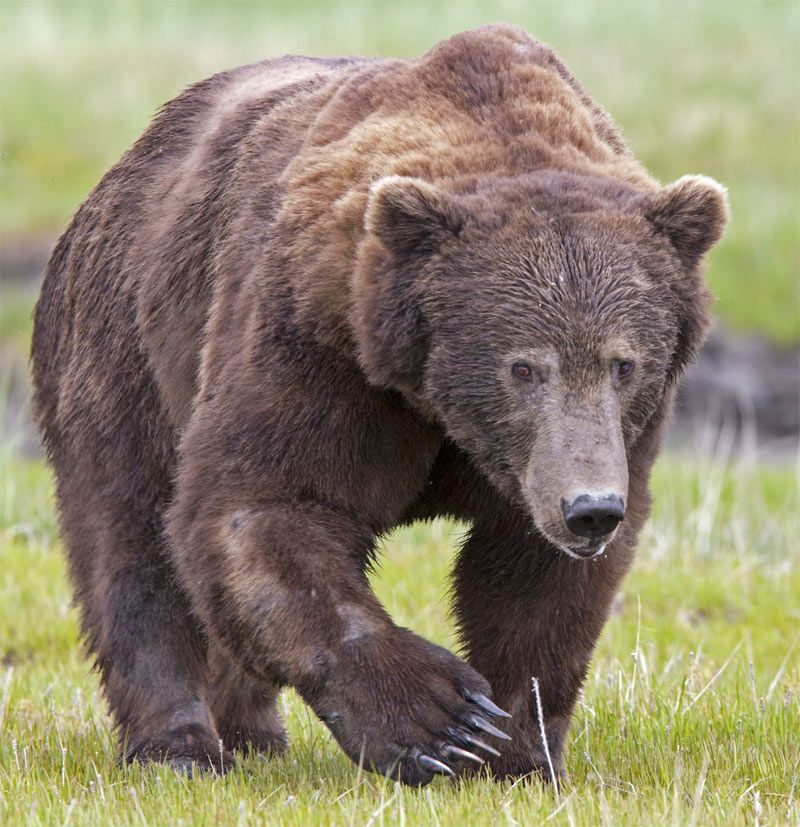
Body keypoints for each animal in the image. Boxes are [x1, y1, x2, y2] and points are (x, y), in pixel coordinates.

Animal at [31, 22, 728, 784]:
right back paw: (178, 745)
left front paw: (517, 751)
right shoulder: (317, 347)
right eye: (523, 366)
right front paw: (441, 720)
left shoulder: (600, 446)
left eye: (624, 363)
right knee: (129, 538)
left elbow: (534, 584)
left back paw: (253, 731)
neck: (437, 402)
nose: (590, 508)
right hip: (125, 345)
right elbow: (262, 503)